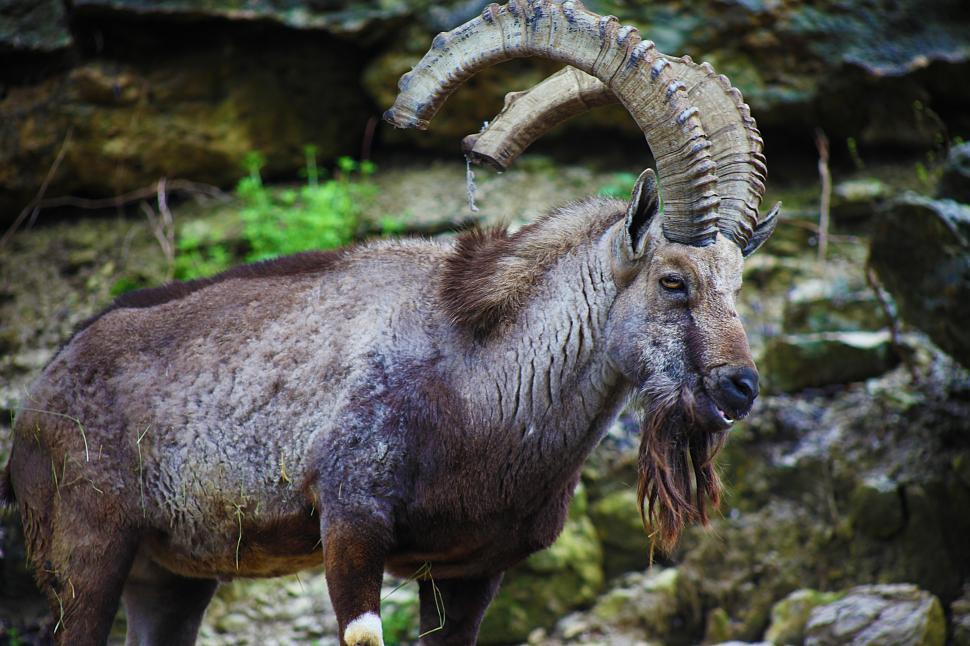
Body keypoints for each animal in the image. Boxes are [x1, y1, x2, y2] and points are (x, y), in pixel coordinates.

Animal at [0, 1, 780, 644]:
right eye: (673, 280)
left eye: (737, 283)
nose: (740, 387)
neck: (483, 382)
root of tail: (39, 397)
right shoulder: (351, 523)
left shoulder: (468, 572)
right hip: (86, 555)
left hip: (172, 579)